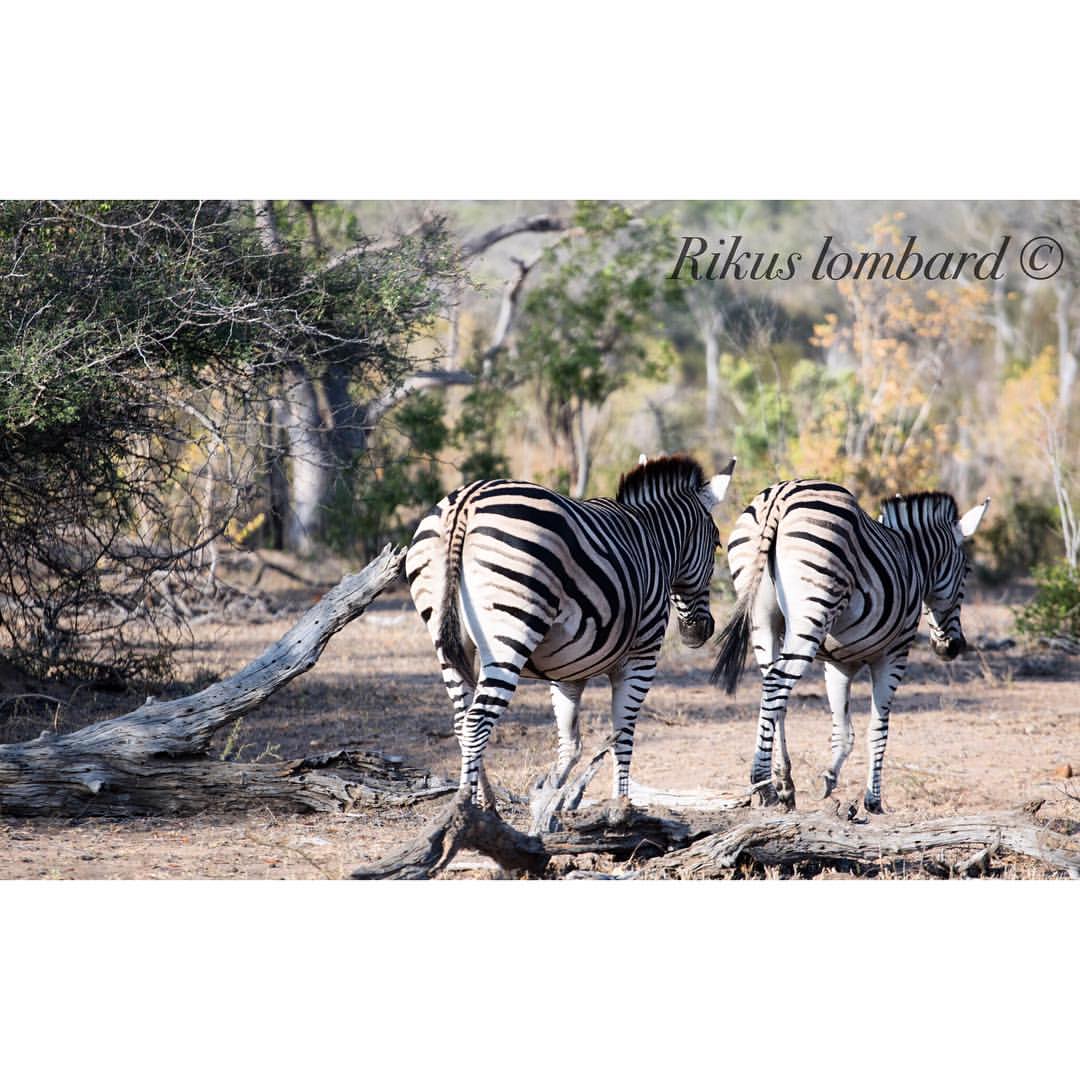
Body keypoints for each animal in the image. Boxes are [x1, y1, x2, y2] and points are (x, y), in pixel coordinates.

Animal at [405, 454, 736, 806]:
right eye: (717, 544)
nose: (702, 631)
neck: (654, 541)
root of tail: (466, 502)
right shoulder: (642, 656)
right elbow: (621, 736)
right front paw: (621, 806)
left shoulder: (567, 670)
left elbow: (571, 744)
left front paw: (552, 796)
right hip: (509, 635)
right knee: (476, 722)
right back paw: (468, 809)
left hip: (448, 642)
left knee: (460, 720)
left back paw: (487, 803)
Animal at [712, 479, 989, 813]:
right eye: (967, 572)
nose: (952, 647)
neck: (912, 559)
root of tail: (780, 496)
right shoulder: (894, 654)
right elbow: (877, 729)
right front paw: (873, 800)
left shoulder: (838, 664)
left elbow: (843, 730)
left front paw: (829, 779)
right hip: (811, 613)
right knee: (779, 683)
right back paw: (763, 784)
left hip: (762, 621)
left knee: (774, 694)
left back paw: (783, 785)